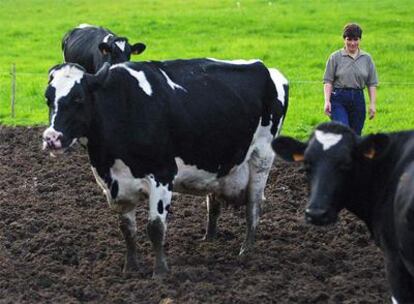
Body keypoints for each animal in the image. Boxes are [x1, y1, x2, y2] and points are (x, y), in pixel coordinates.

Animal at [42, 58, 288, 278]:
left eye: (78, 98)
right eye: (48, 99)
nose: (51, 138)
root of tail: (267, 68)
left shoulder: (161, 175)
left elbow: (156, 227)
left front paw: (160, 272)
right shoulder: (114, 186)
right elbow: (127, 229)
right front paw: (130, 268)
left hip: (261, 158)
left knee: (254, 205)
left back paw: (246, 251)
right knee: (214, 203)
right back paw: (209, 239)